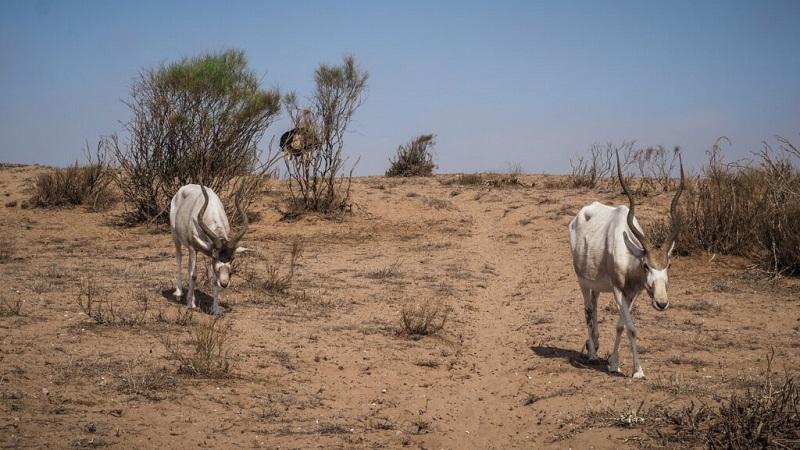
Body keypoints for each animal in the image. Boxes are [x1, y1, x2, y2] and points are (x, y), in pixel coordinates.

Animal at [172, 185, 250, 314]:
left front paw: (216, 309)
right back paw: (179, 294)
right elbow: (193, 275)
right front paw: (189, 305)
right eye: (215, 257)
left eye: (232, 258)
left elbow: (213, 280)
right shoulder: (193, 248)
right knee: (179, 258)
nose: (224, 283)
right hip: (176, 238)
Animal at [564, 152, 684, 380]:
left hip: (597, 285)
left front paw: (614, 363)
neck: (629, 255)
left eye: (669, 264)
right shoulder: (618, 290)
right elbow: (631, 327)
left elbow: (621, 325)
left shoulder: (633, 292)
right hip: (582, 281)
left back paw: (595, 345)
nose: (661, 303)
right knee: (587, 309)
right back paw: (592, 354)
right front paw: (638, 371)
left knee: (594, 304)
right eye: (645, 265)